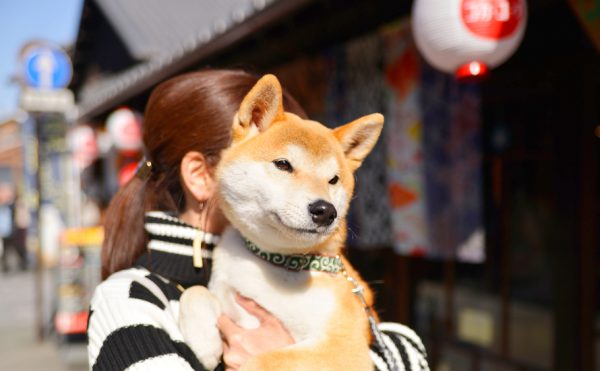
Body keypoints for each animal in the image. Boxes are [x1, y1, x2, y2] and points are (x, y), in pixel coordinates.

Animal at [179, 74, 384, 370]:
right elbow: (195, 291)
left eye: (333, 180)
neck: (277, 262)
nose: (326, 210)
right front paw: (203, 340)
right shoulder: (229, 300)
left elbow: (261, 361)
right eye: (283, 164)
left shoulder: (345, 348)